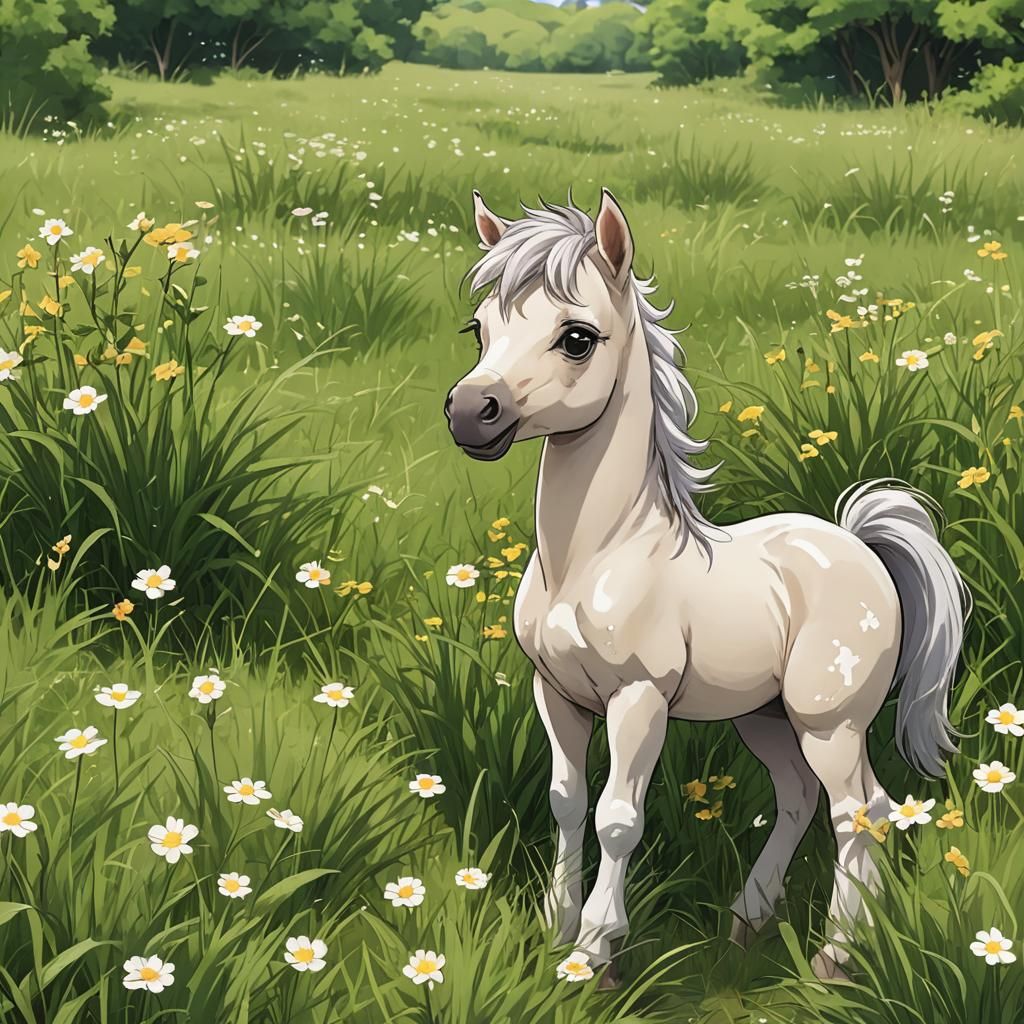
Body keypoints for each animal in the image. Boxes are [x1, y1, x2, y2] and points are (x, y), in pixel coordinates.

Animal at [444, 188, 969, 986]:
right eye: (481, 328)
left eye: (576, 338)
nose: (471, 414)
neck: (597, 559)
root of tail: (860, 546)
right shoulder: (557, 696)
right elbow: (566, 802)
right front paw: (555, 933)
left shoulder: (638, 700)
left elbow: (617, 818)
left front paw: (594, 952)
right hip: (764, 716)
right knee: (798, 796)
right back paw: (750, 920)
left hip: (830, 722)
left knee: (862, 809)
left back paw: (838, 954)